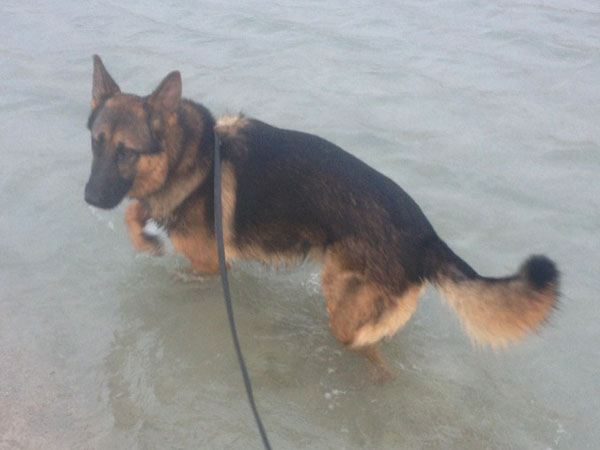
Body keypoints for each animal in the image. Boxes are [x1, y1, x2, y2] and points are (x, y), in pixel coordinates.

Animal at [84, 55, 556, 380]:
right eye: (96, 142)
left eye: (126, 152)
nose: (89, 197)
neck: (190, 154)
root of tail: (426, 237)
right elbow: (134, 210)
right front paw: (145, 235)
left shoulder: (210, 264)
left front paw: (150, 243)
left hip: (343, 306)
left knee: (366, 346)